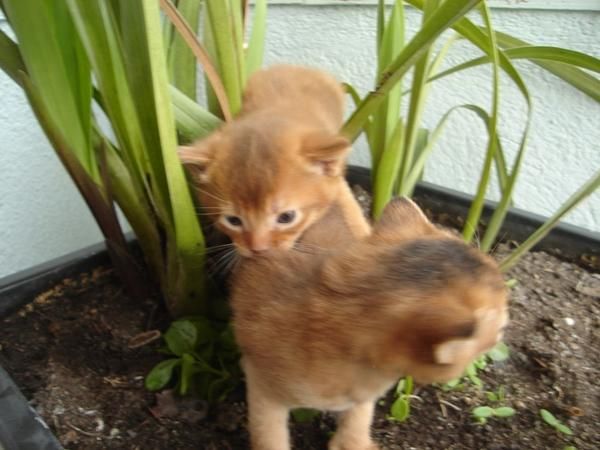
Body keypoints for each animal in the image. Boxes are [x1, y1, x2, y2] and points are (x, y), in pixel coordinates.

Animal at [177, 65, 370, 258]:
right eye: (233, 220)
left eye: (286, 217)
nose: (258, 249)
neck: (273, 113)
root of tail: (293, 67)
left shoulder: (336, 179)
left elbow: (347, 202)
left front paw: (362, 234)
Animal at [232, 199, 508, 448]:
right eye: (500, 328)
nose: (502, 335)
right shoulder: (260, 385)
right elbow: (268, 437)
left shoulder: (360, 398)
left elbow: (357, 420)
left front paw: (354, 442)